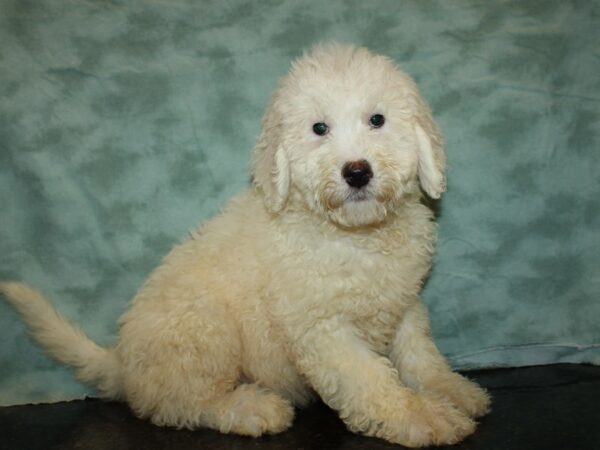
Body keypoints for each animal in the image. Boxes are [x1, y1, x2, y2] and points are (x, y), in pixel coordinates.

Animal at [1, 44, 488, 446]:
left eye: (377, 120)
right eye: (319, 128)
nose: (356, 171)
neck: (357, 236)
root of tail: (123, 362)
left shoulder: (403, 304)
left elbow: (420, 356)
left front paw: (451, 391)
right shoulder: (323, 328)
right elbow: (371, 380)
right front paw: (421, 416)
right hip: (205, 327)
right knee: (177, 405)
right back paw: (249, 407)